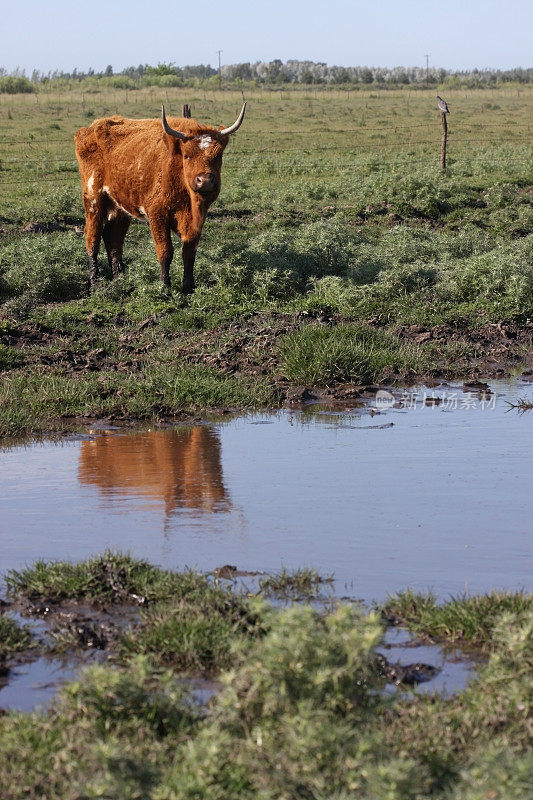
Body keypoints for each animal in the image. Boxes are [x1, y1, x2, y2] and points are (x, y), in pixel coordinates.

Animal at [74, 102, 245, 290]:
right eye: (187, 155)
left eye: (218, 155)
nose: (205, 181)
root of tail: (88, 129)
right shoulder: (157, 215)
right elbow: (165, 252)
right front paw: (165, 286)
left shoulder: (197, 219)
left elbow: (189, 252)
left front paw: (188, 287)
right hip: (93, 200)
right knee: (92, 237)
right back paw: (94, 282)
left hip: (120, 207)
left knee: (114, 240)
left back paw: (120, 279)